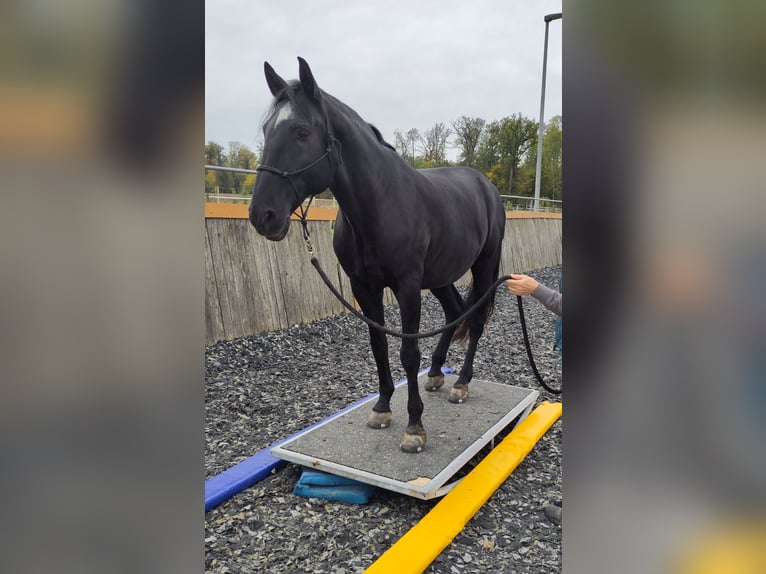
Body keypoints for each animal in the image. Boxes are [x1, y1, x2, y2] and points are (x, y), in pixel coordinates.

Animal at [249, 58, 508, 454]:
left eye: (302, 132)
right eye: (266, 129)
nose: (263, 215)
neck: (380, 203)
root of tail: (486, 186)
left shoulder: (407, 286)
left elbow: (407, 353)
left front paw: (414, 426)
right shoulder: (363, 287)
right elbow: (378, 345)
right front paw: (383, 407)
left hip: (485, 266)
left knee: (476, 320)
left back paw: (461, 383)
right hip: (441, 274)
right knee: (454, 311)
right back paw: (436, 374)